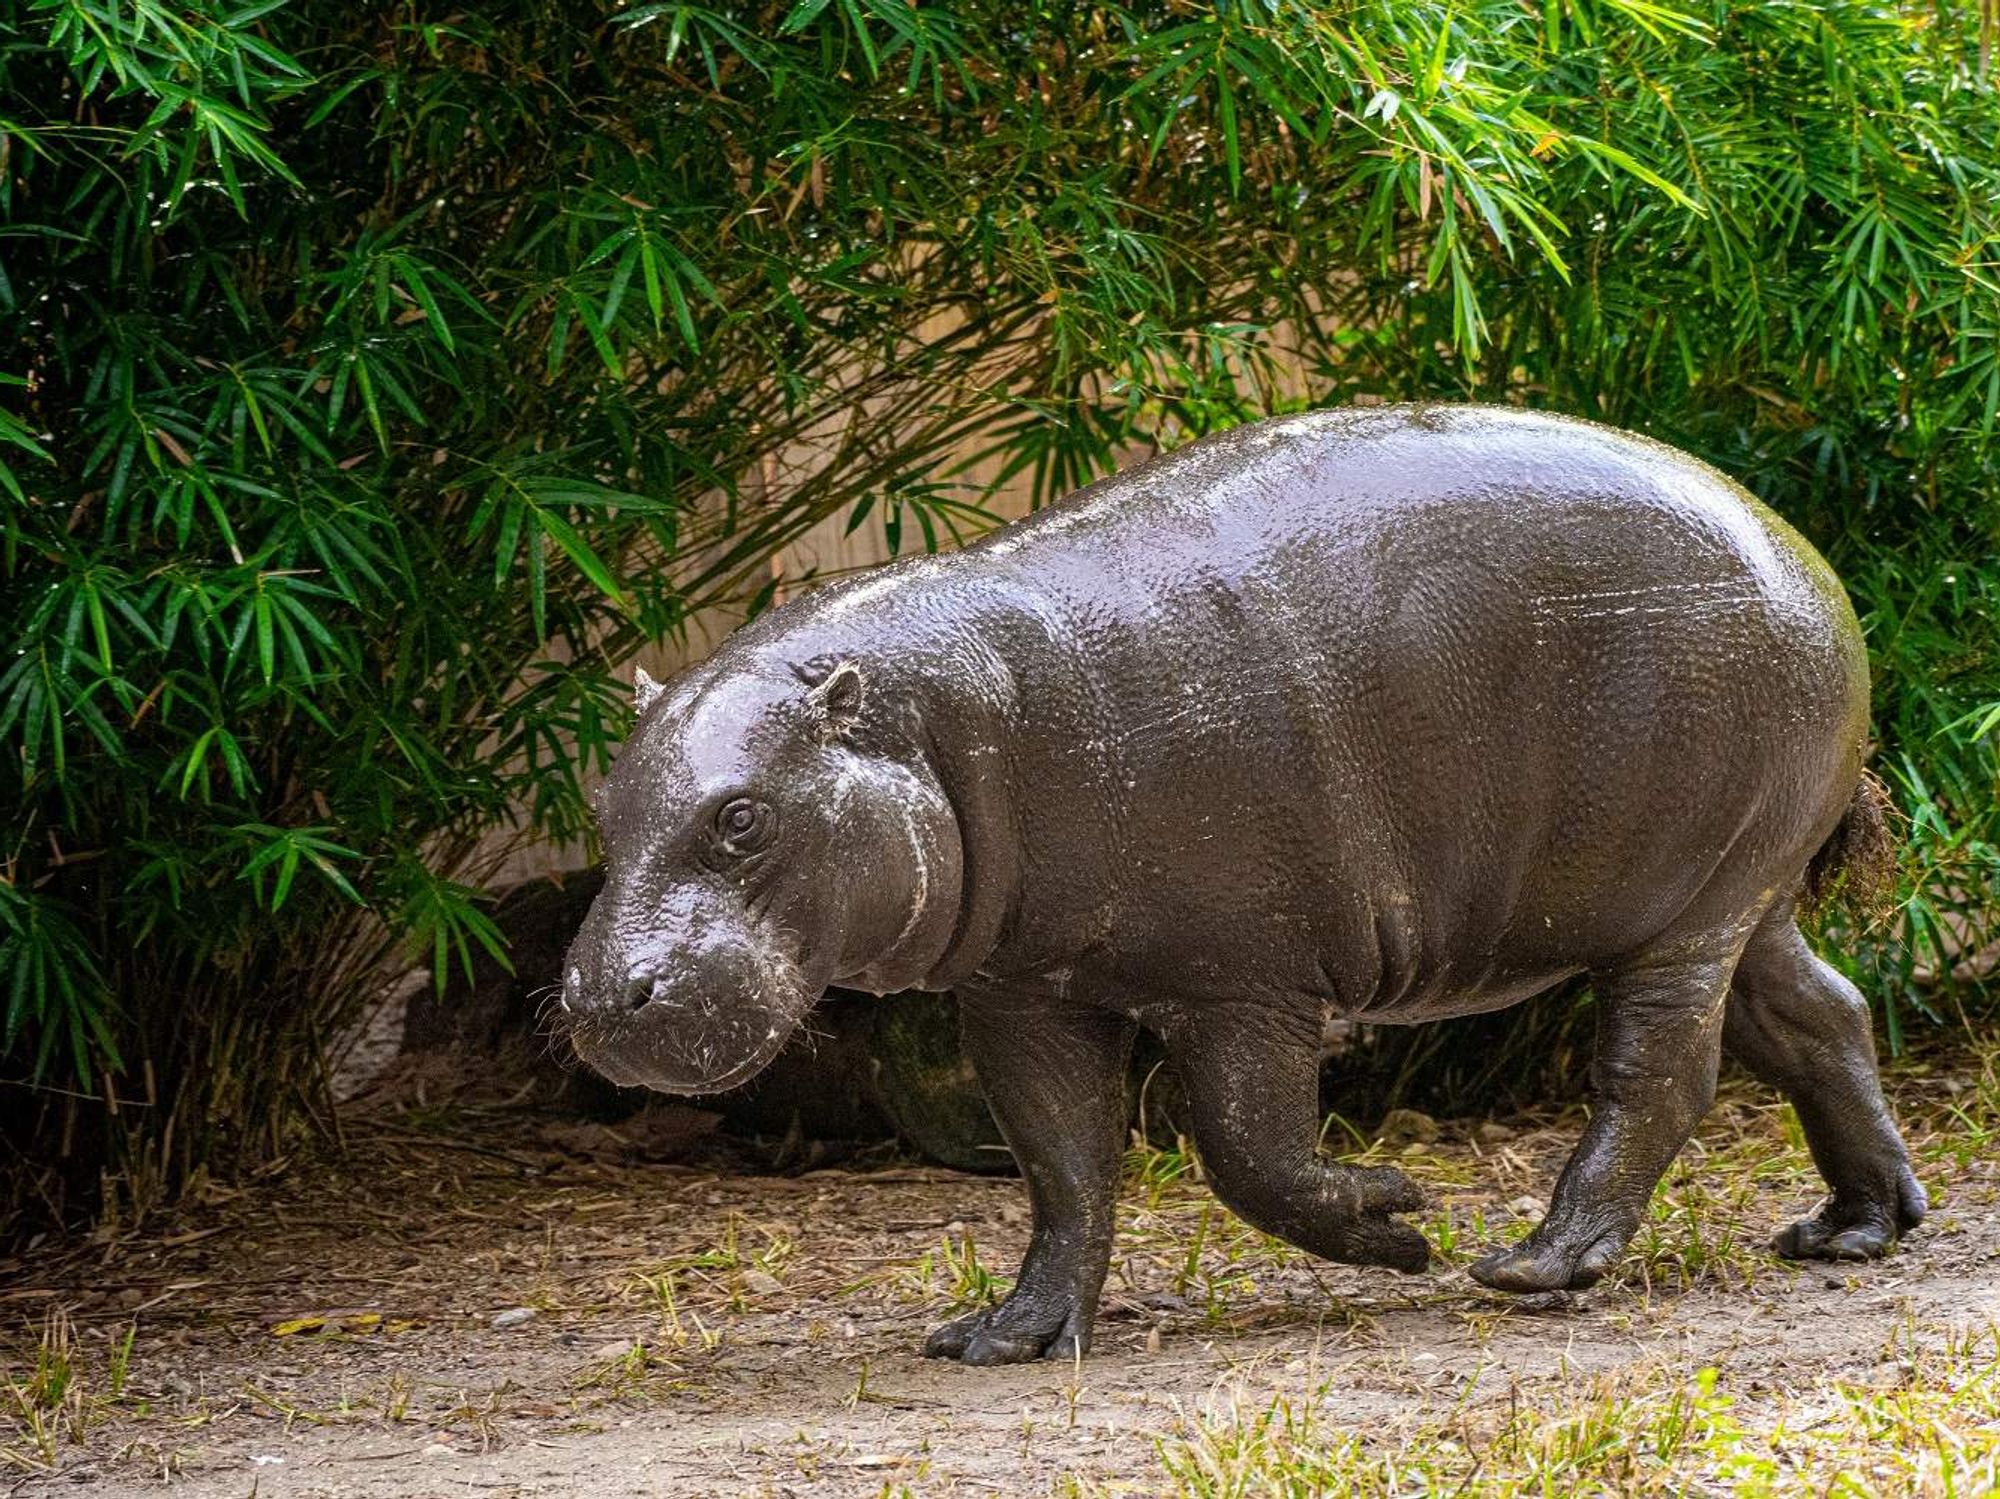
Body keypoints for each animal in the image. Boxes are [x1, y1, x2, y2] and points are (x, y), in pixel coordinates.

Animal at [560, 404, 1925, 1365]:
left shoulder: (1246, 981)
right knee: (1818, 1015)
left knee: (1661, 1074)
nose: (595, 998)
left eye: (741, 816)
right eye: (603, 804)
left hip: (1677, 910)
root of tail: (1804, 556)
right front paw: (999, 1339)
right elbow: (1063, 1162)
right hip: (1737, 887)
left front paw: (1397, 1221)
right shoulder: (1023, 991)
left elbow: (1241, 1148)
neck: (942, 719)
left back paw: (1529, 1265)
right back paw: (1852, 1228)